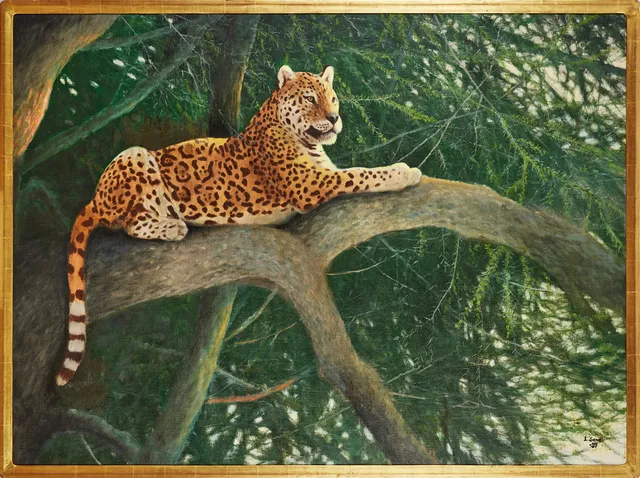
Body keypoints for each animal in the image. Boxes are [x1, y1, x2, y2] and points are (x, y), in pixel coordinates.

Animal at [56, 65, 422, 386]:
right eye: (310, 98)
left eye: (333, 98)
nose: (334, 119)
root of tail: (94, 197)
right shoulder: (312, 184)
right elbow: (361, 173)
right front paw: (403, 172)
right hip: (135, 156)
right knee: (131, 222)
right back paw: (173, 226)